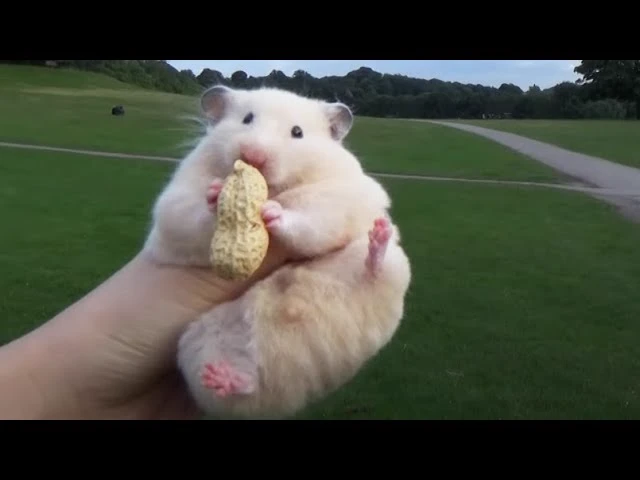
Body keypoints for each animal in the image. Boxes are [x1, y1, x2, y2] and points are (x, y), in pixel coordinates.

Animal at [143, 85, 412, 419]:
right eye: (246, 118)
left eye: (297, 132)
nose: (253, 157)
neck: (273, 190)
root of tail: (294, 386)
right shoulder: (174, 208)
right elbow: (189, 214)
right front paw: (217, 195)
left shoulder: (337, 197)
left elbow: (308, 221)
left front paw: (274, 213)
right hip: (197, 347)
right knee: (246, 386)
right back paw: (224, 378)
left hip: (394, 268)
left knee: (374, 271)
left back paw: (377, 241)